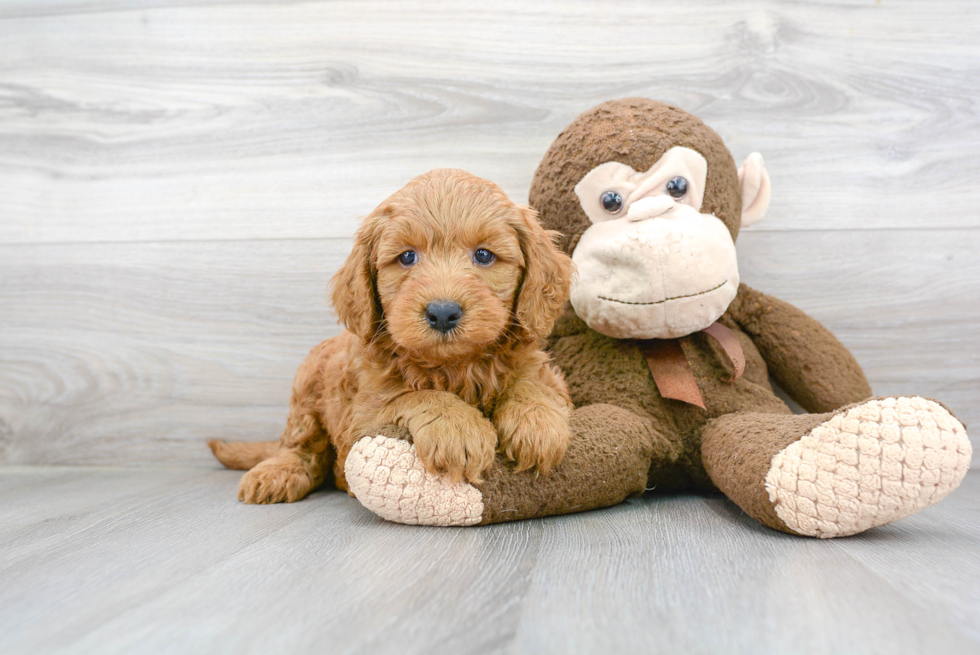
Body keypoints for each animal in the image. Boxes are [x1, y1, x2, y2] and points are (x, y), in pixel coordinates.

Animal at [207, 168, 576, 502]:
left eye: (484, 255)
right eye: (407, 257)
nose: (443, 312)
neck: (455, 366)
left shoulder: (539, 366)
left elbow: (532, 381)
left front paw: (536, 423)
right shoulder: (363, 413)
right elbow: (414, 395)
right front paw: (458, 427)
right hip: (306, 386)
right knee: (300, 447)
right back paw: (278, 473)